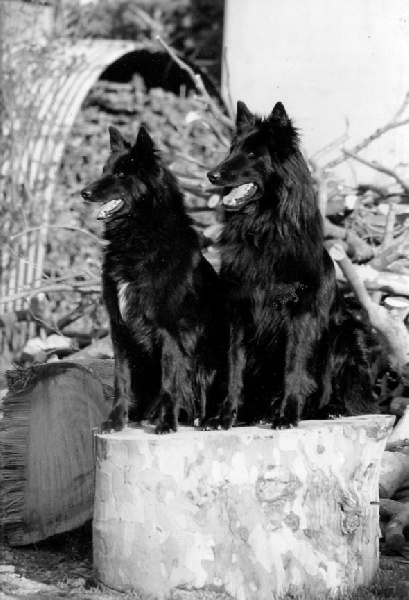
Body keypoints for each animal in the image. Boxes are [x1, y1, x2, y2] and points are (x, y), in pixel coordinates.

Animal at [81, 125, 226, 433]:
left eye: (122, 175)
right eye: (104, 170)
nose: (84, 192)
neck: (138, 236)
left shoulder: (169, 330)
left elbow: (170, 381)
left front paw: (167, 423)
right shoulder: (120, 328)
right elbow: (121, 380)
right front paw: (116, 420)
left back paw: (201, 419)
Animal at [207, 100, 376, 429]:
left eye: (252, 154)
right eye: (233, 150)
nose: (212, 175)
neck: (262, 231)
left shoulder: (300, 315)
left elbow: (293, 367)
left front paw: (287, 414)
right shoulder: (238, 312)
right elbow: (234, 368)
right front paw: (225, 415)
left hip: (344, 335)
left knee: (335, 387)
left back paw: (325, 409)